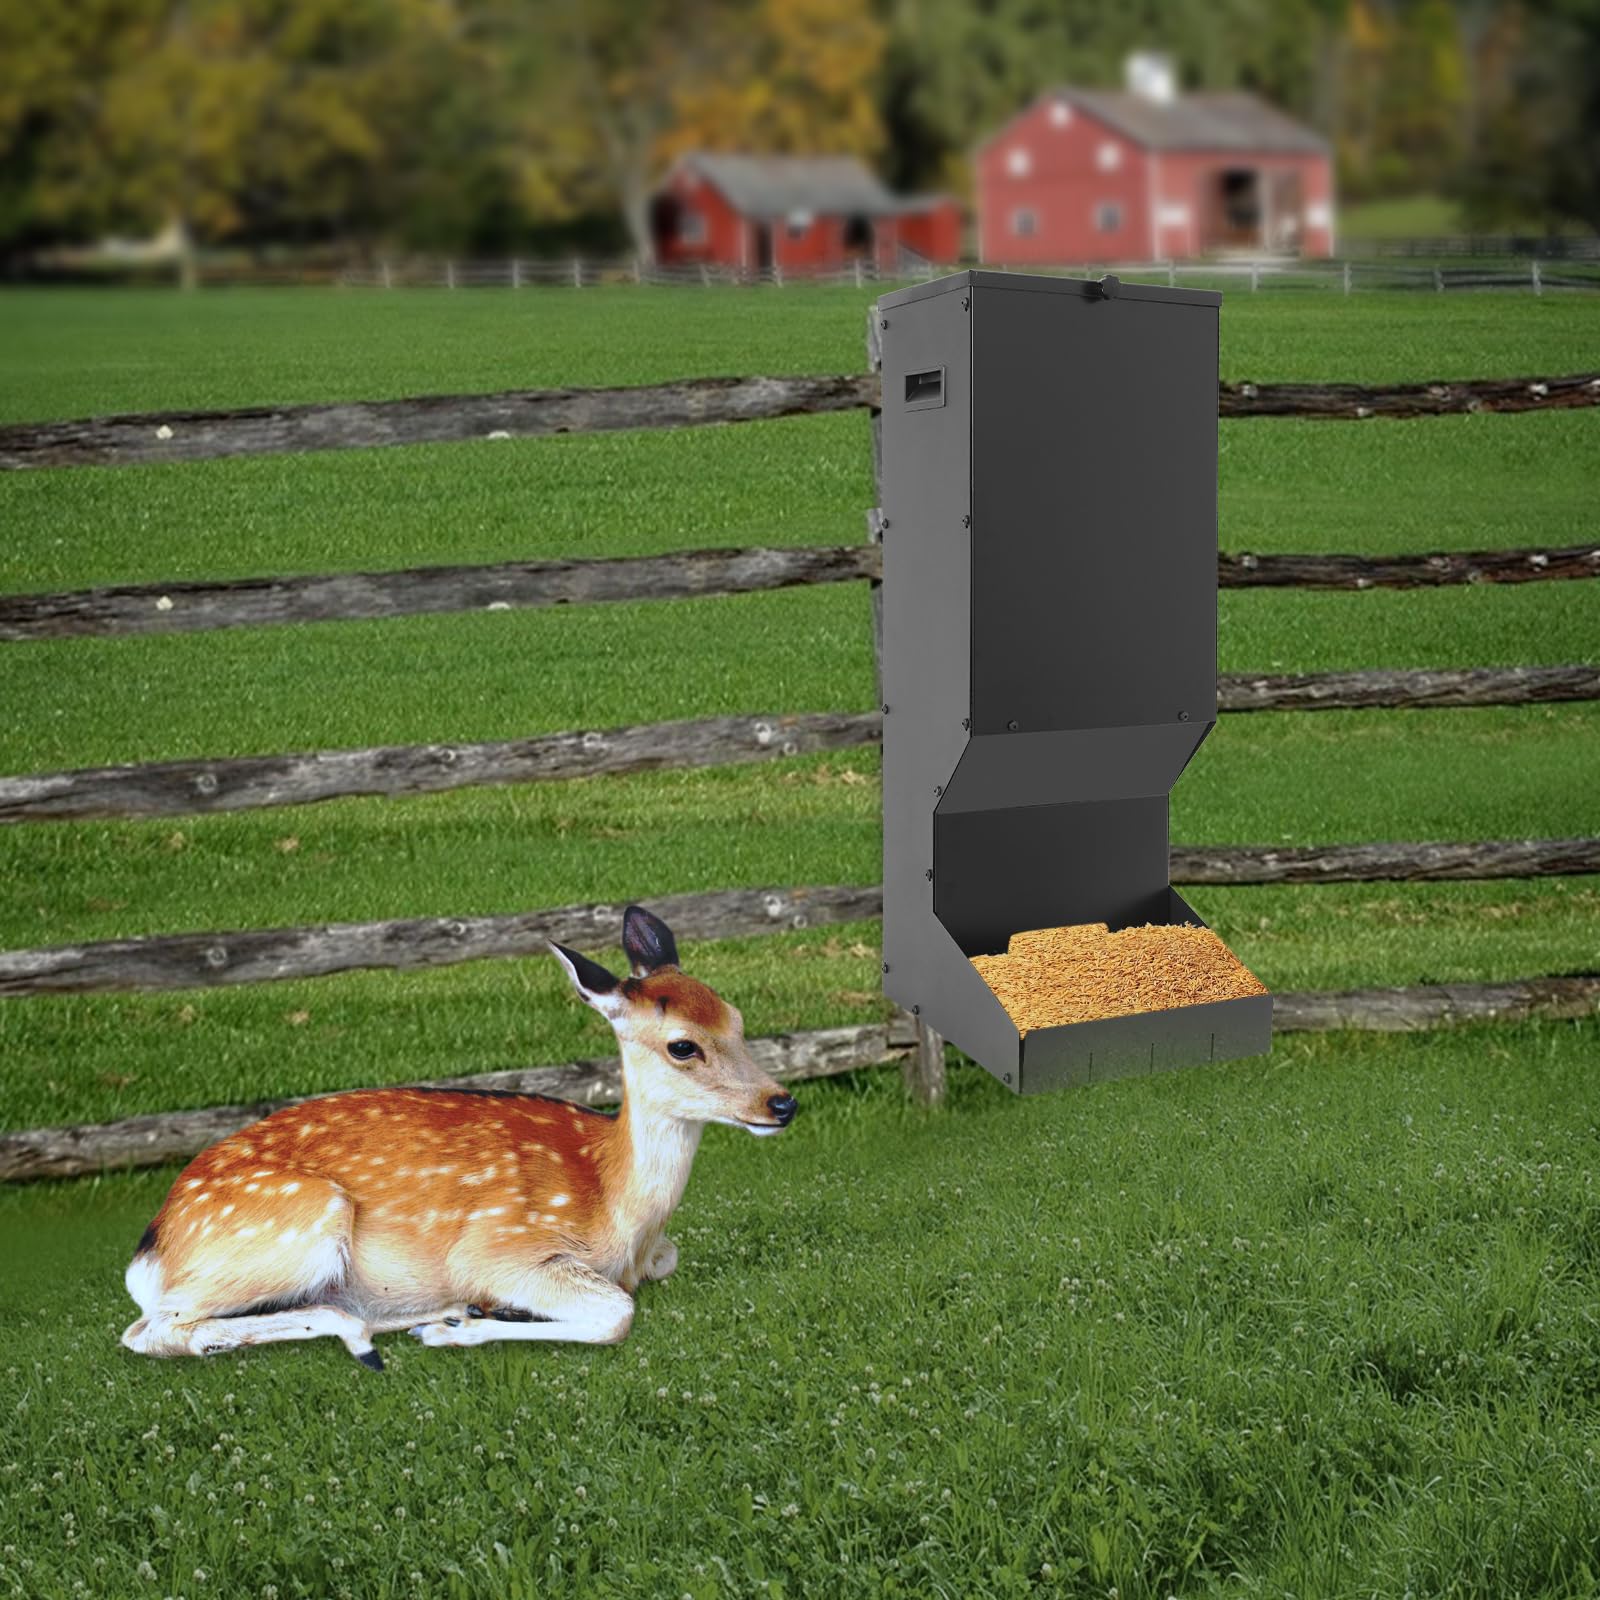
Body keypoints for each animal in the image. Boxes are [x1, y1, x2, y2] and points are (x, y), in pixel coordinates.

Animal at [120, 904, 796, 1369]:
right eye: (683, 1045)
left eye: (737, 1020)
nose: (781, 1103)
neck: (619, 1213)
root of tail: (150, 1248)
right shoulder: (499, 1246)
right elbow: (616, 1314)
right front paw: (461, 1330)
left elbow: (660, 1268)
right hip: (300, 1222)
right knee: (153, 1331)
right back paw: (385, 1330)